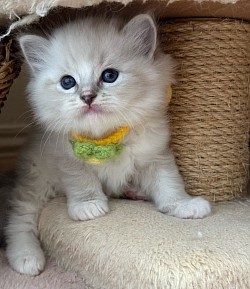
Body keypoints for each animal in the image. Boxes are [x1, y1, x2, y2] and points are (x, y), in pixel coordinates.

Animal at [5, 14, 211, 276]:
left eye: (110, 76)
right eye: (67, 82)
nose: (87, 97)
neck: (105, 138)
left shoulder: (156, 155)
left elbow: (169, 184)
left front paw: (184, 205)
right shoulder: (67, 158)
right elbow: (83, 182)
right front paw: (89, 207)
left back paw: (135, 192)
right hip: (37, 181)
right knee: (19, 217)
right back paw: (26, 258)